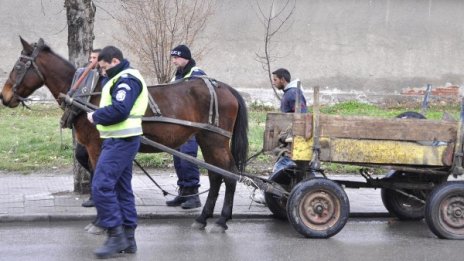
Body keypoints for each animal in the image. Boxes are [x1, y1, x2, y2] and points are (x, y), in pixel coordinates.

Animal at [0, 37, 250, 232]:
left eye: (19, 66)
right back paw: (203, 218)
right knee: (216, 176)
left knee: (229, 175)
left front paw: (101, 221)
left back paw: (222, 220)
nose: (4, 96)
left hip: (216, 140)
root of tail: (223, 87)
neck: (86, 94)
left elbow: (100, 178)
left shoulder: (96, 146)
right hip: (206, 139)